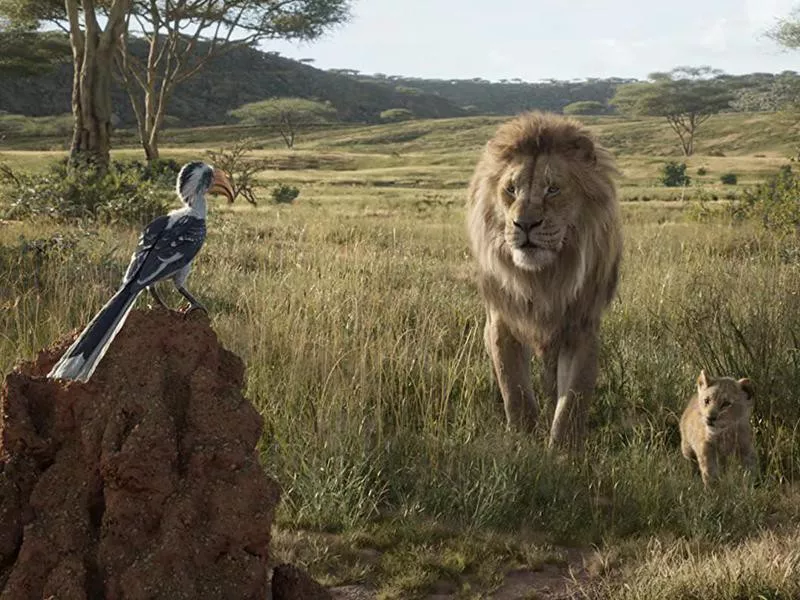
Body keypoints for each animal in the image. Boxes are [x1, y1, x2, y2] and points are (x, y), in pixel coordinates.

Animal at [465, 112, 622, 450]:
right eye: (511, 189)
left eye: (553, 189)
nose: (524, 224)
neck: (544, 278)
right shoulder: (502, 322)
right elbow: (515, 391)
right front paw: (522, 444)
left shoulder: (582, 328)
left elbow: (572, 401)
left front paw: (564, 452)